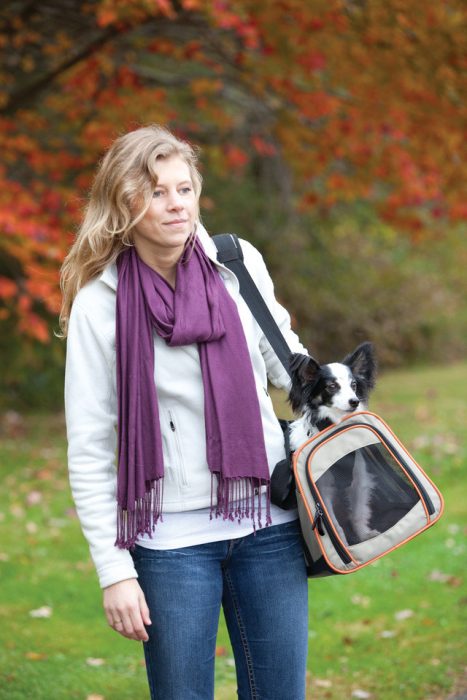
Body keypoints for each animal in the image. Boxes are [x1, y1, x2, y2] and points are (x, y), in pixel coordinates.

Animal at [288, 342, 380, 544]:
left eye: (353, 385)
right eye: (331, 386)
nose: (354, 401)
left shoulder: (358, 480)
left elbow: (359, 512)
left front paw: (363, 535)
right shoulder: (322, 489)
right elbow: (334, 524)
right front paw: (343, 542)